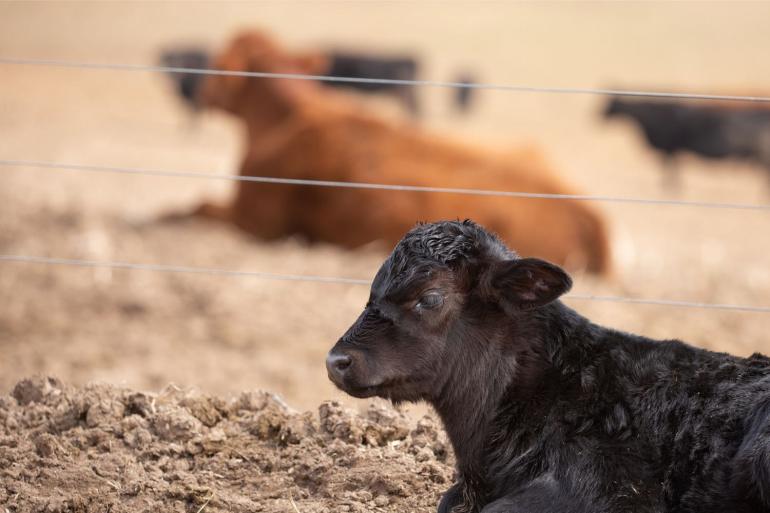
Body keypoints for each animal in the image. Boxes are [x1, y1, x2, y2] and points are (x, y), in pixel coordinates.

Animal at [183, 31, 608, 272]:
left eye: (219, 61)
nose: (201, 92)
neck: (285, 119)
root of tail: (585, 210)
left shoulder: (254, 220)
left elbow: (190, 209)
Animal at [600, 96, 768, 188]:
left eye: (609, 105)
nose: (597, 118)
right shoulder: (670, 149)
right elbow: (672, 168)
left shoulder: (669, 147)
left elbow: (670, 169)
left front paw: (669, 187)